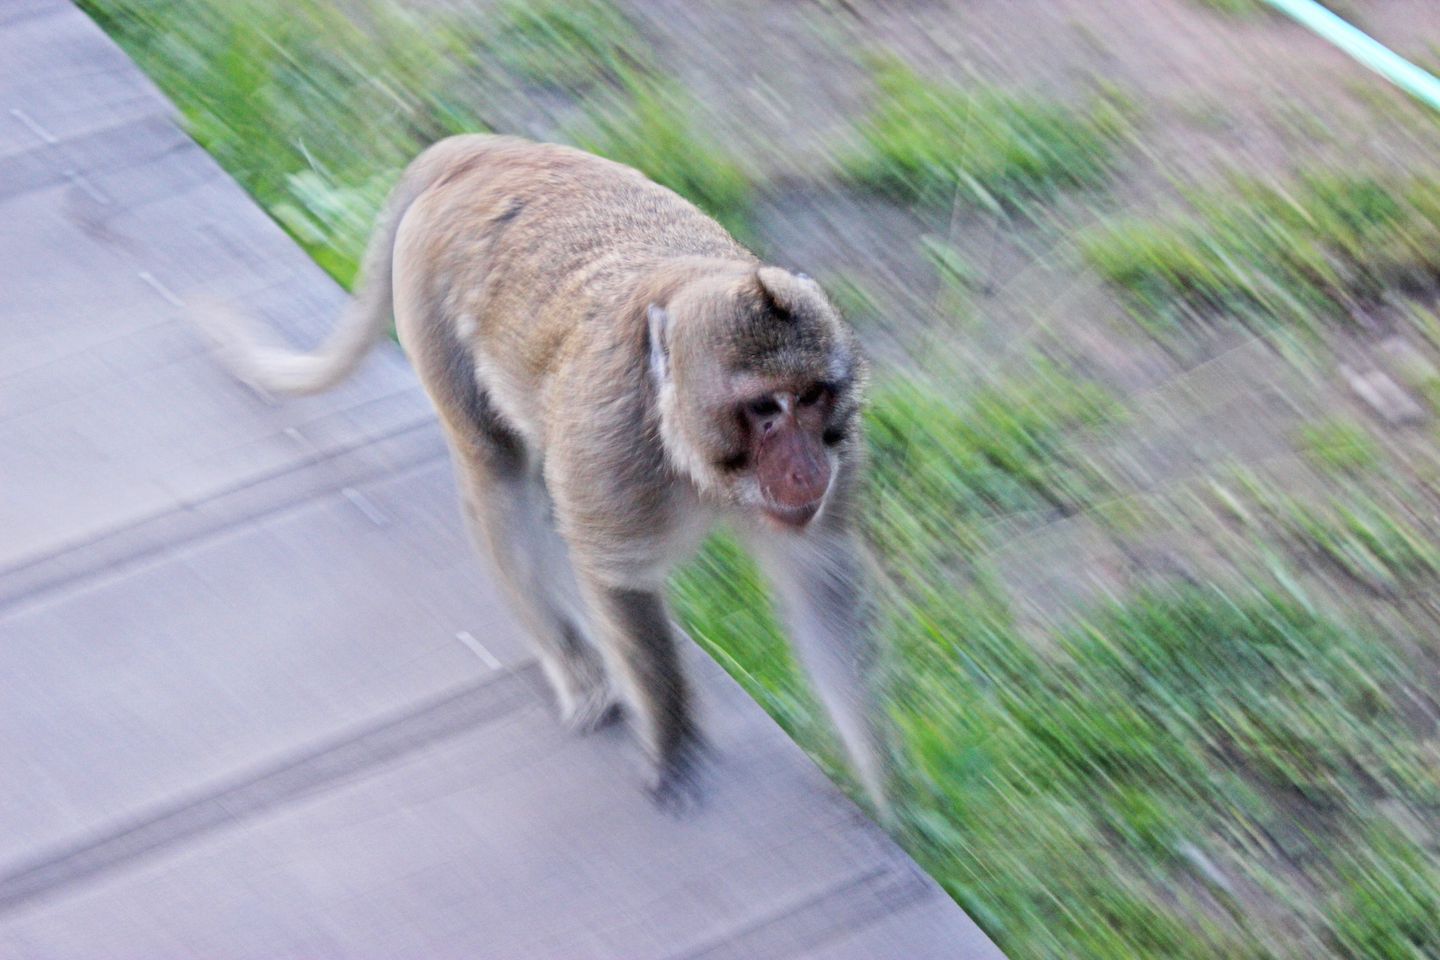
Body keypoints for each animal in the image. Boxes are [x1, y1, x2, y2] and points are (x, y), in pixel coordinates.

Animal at [199, 134, 889, 812]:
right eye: (764, 410)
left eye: (812, 397)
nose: (805, 467)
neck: (686, 451)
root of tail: (483, 150)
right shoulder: (610, 449)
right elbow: (620, 581)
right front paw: (673, 743)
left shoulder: (842, 452)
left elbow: (819, 574)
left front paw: (882, 789)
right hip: (428, 291)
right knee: (496, 468)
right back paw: (576, 668)